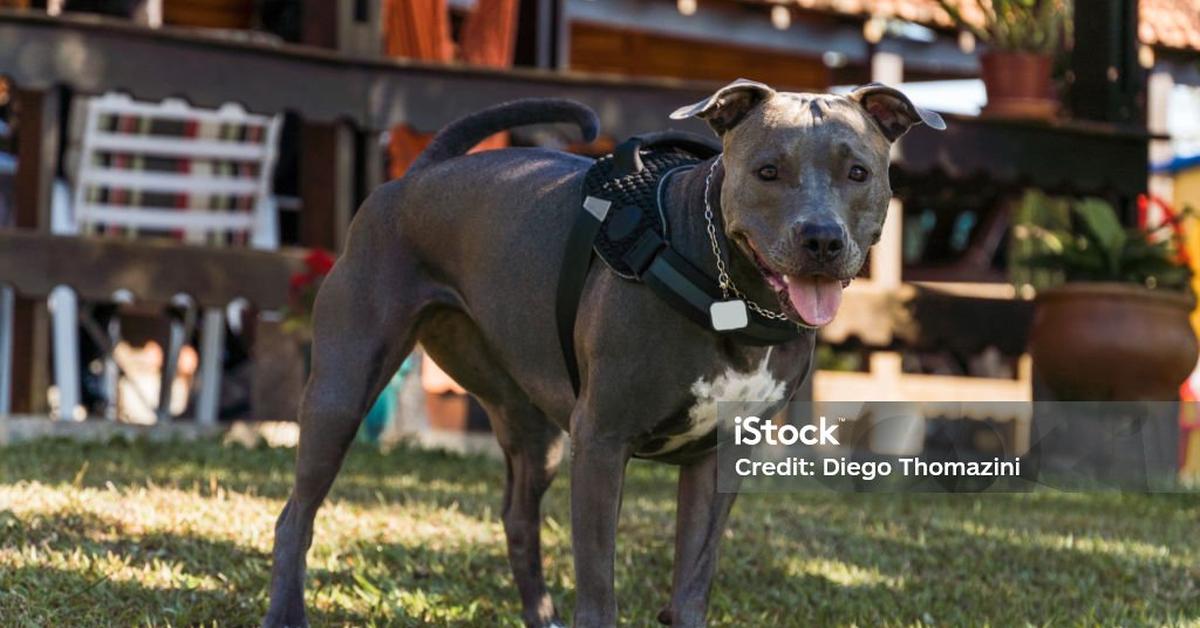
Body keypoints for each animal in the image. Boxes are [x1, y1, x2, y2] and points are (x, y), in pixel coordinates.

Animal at [265, 79, 945, 628]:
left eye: (857, 173)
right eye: (768, 171)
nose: (821, 239)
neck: (726, 285)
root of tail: (419, 174)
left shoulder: (720, 458)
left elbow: (691, 585)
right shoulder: (601, 442)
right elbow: (598, 589)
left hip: (532, 425)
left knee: (518, 518)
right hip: (343, 388)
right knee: (295, 514)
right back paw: (285, 612)